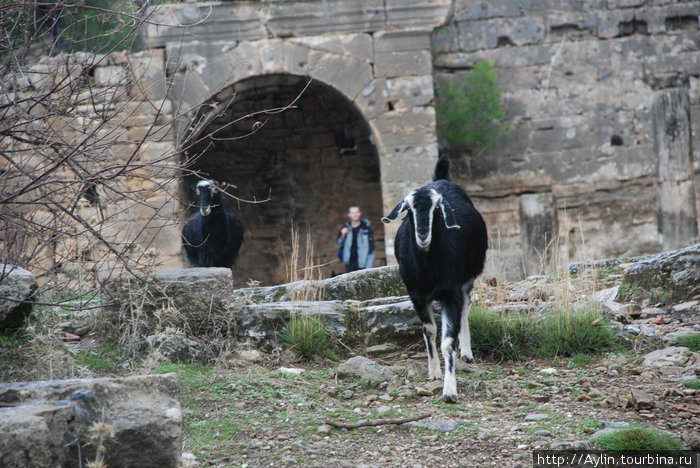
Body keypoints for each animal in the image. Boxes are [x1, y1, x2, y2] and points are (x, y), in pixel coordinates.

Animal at [382, 156, 486, 402]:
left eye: (437, 208)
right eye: (408, 210)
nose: (422, 234)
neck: (428, 270)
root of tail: (442, 179)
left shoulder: (452, 293)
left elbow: (447, 343)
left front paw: (450, 391)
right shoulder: (417, 295)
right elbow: (429, 330)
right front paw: (434, 373)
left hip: (468, 280)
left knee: (467, 307)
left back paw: (467, 353)